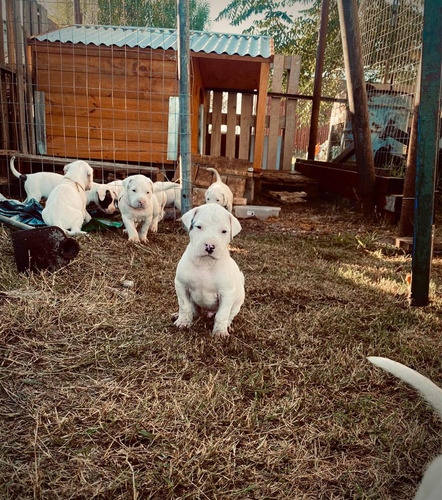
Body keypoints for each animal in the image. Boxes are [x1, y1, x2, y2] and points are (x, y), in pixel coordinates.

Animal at [174, 201, 245, 338]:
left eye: (224, 231)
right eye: (199, 227)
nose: (210, 247)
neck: (205, 263)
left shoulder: (226, 293)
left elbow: (222, 315)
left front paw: (220, 332)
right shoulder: (181, 285)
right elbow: (184, 306)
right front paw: (183, 322)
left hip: (238, 301)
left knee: (229, 315)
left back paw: (228, 326)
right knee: (193, 309)